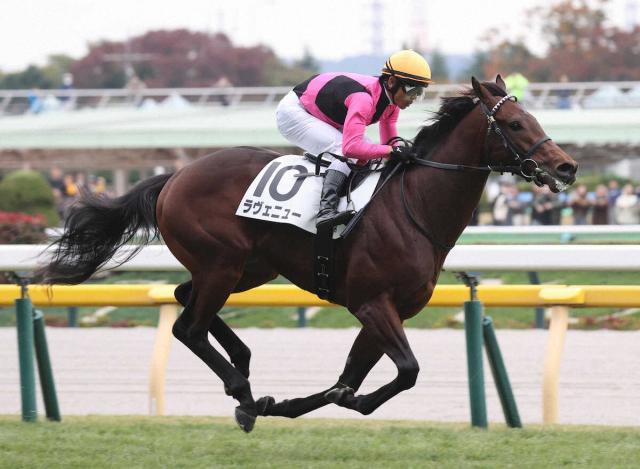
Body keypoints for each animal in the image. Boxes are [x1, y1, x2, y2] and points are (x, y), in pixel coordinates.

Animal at [36, 76, 577, 432]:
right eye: (514, 123)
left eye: (534, 117)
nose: (567, 167)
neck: (414, 209)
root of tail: (174, 176)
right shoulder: (372, 303)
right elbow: (405, 371)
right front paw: (309, 402)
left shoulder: (389, 310)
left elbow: (353, 378)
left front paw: (294, 403)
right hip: (223, 262)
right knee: (186, 326)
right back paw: (241, 390)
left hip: (247, 266)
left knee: (184, 296)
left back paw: (244, 370)